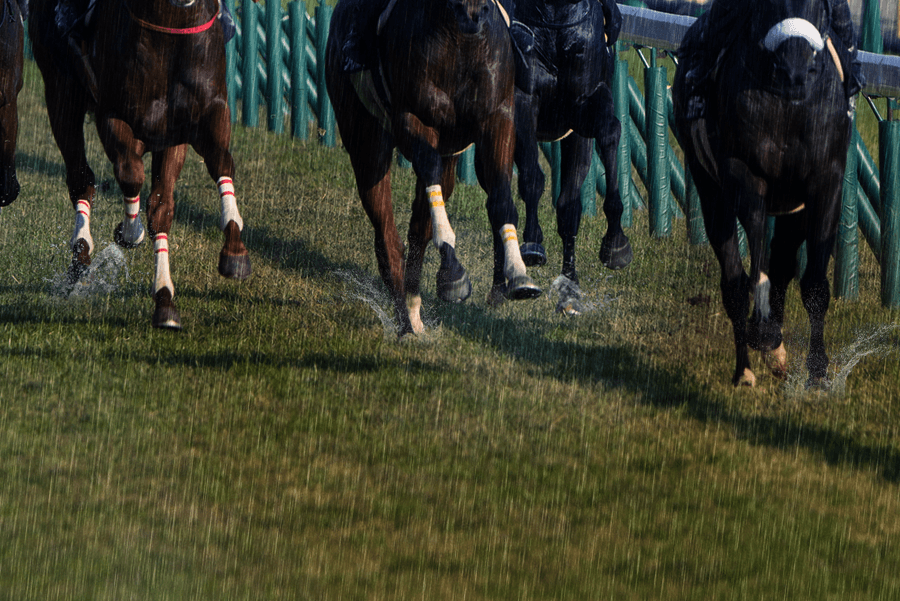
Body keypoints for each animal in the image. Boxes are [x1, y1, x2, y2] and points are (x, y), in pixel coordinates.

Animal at [29, 0, 251, 329]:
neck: (172, 26)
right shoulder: (114, 116)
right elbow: (131, 176)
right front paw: (130, 232)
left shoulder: (200, 117)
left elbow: (210, 172)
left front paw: (233, 253)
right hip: (60, 92)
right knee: (81, 178)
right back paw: (81, 255)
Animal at [325, 0, 542, 337]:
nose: (473, 15)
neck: (460, 40)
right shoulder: (412, 117)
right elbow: (427, 167)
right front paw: (452, 274)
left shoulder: (498, 117)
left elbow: (501, 200)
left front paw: (518, 275)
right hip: (366, 145)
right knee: (387, 236)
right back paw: (405, 319)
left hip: (450, 156)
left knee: (419, 228)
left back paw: (415, 304)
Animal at [512, 0, 632, 315]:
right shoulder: (523, 99)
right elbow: (531, 178)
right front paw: (532, 244)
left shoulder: (583, 107)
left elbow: (610, 132)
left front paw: (615, 245)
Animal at [672, 0, 853, 387]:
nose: (795, 72)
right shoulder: (742, 171)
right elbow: (755, 265)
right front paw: (766, 335)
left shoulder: (826, 179)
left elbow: (814, 283)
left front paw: (818, 371)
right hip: (708, 186)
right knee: (734, 279)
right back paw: (745, 369)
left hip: (792, 209)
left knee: (783, 262)